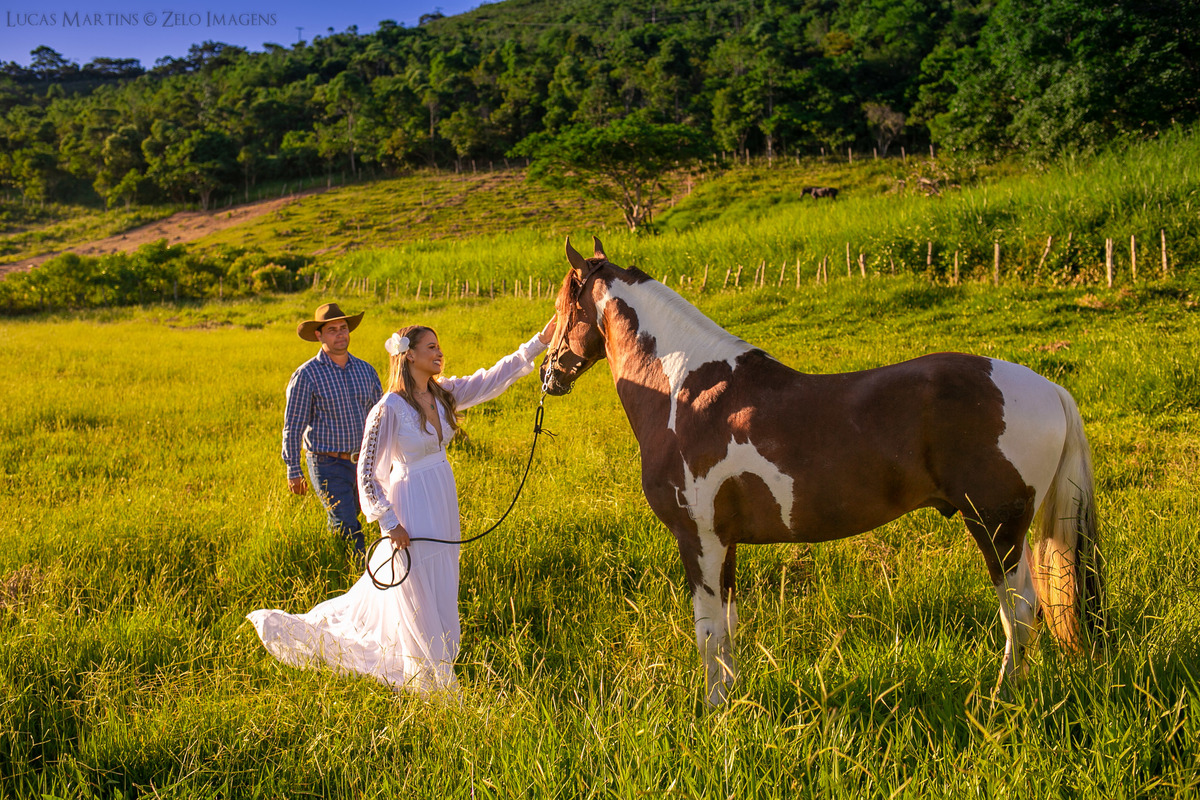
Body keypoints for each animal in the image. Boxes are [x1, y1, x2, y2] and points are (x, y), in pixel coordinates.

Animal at [541, 237, 1104, 705]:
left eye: (562, 307)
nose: (548, 373)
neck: (684, 390)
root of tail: (1048, 388)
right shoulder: (724, 543)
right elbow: (729, 626)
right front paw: (735, 702)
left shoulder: (696, 539)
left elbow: (707, 633)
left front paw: (713, 711)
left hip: (996, 527)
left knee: (1020, 612)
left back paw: (1001, 698)